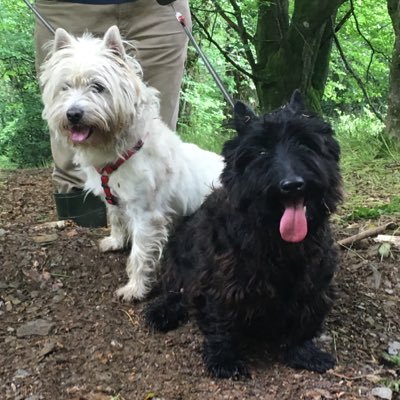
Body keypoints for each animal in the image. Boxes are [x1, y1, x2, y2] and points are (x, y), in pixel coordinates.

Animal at [39, 25, 225, 300]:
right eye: (65, 87)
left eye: (98, 86)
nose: (73, 114)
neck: (119, 151)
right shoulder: (114, 199)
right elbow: (116, 218)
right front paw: (115, 242)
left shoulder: (146, 215)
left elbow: (139, 253)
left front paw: (134, 288)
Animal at [145, 90, 342, 378]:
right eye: (260, 151)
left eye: (305, 144)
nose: (292, 185)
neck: (276, 239)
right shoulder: (221, 281)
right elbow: (222, 319)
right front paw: (223, 359)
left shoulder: (312, 280)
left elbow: (303, 318)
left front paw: (304, 352)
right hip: (176, 259)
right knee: (176, 292)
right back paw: (163, 312)